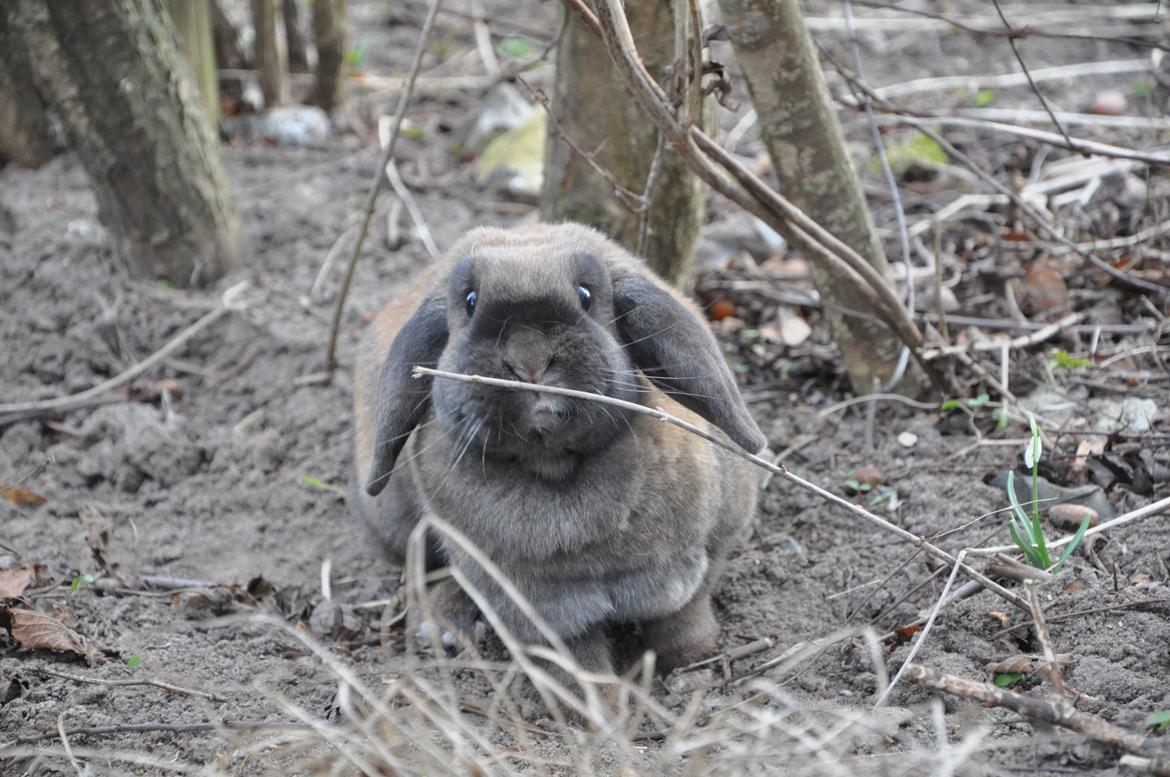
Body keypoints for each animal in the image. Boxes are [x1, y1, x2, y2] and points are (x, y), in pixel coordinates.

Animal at [351, 224, 762, 674]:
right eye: (470, 302)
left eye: (586, 295)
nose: (529, 360)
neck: (555, 466)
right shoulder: (544, 615)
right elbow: (578, 668)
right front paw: (605, 697)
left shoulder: (710, 548)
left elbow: (685, 613)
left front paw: (691, 656)